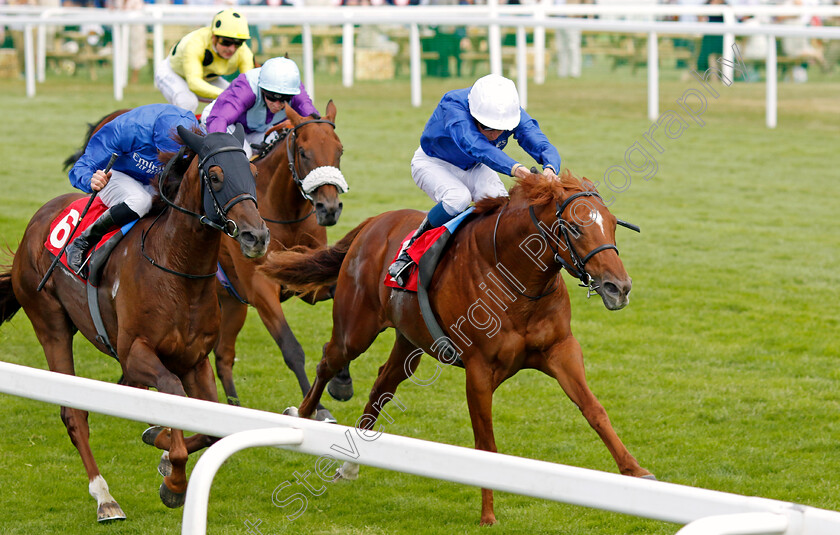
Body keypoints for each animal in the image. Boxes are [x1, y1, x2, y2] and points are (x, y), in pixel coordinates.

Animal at [0, 126, 270, 524]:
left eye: (252, 171)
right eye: (216, 175)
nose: (257, 237)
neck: (177, 268)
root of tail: (35, 222)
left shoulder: (195, 360)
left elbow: (211, 433)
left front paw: (160, 443)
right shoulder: (137, 352)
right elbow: (173, 394)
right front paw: (174, 482)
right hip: (50, 324)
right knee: (74, 412)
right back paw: (104, 498)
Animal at [213, 101, 352, 418]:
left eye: (339, 150)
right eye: (303, 151)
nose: (329, 208)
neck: (285, 213)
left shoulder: (307, 280)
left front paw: (341, 380)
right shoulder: (261, 288)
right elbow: (291, 348)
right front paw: (317, 409)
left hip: (231, 304)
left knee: (223, 356)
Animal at [260, 173, 652, 528]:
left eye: (612, 224)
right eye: (573, 227)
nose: (619, 287)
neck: (515, 279)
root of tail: (375, 222)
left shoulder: (561, 350)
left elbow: (594, 410)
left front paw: (636, 472)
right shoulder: (479, 368)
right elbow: (486, 443)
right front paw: (488, 514)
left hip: (409, 340)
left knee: (383, 385)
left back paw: (349, 465)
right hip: (355, 329)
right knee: (329, 360)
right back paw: (301, 416)